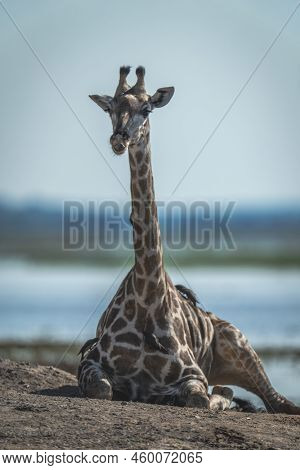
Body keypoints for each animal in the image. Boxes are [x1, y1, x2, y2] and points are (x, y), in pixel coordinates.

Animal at [78, 67, 300, 414]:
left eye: (147, 109)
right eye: (109, 108)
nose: (119, 140)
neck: (147, 298)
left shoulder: (193, 374)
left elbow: (198, 397)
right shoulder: (90, 361)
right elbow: (103, 389)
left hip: (241, 346)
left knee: (273, 400)